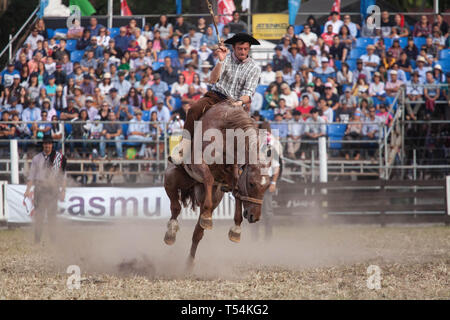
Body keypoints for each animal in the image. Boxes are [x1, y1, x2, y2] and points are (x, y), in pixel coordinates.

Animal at [163, 100, 272, 264]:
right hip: (171, 179)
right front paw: (209, 219)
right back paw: (171, 233)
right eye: (252, 183)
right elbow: (209, 178)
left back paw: (190, 262)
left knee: (197, 234)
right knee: (175, 208)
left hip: (209, 195)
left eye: (266, 186)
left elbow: (237, 190)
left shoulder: (232, 173)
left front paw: (236, 229)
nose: (255, 216)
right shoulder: (198, 162)